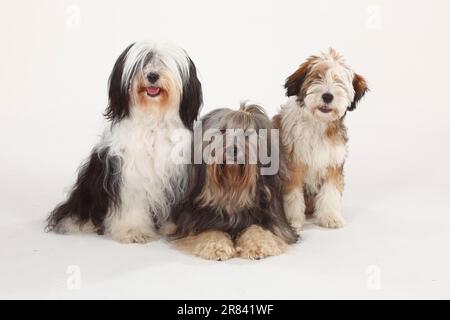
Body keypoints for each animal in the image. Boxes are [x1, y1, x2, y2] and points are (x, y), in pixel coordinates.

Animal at [47, 41, 202, 244]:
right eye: (142, 63)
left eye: (163, 62)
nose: (152, 76)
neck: (152, 120)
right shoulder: (128, 173)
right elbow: (132, 204)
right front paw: (133, 231)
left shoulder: (175, 176)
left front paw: (171, 227)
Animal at [172, 104, 298, 260]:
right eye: (222, 131)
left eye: (246, 134)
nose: (233, 150)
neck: (232, 192)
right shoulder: (196, 221)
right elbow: (210, 230)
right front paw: (217, 247)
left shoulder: (274, 221)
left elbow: (258, 229)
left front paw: (258, 246)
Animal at [274, 48, 370, 231]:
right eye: (317, 77)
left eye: (339, 81)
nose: (327, 96)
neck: (317, 123)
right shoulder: (292, 165)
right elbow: (293, 196)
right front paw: (293, 220)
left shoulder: (333, 163)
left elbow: (330, 192)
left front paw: (330, 217)